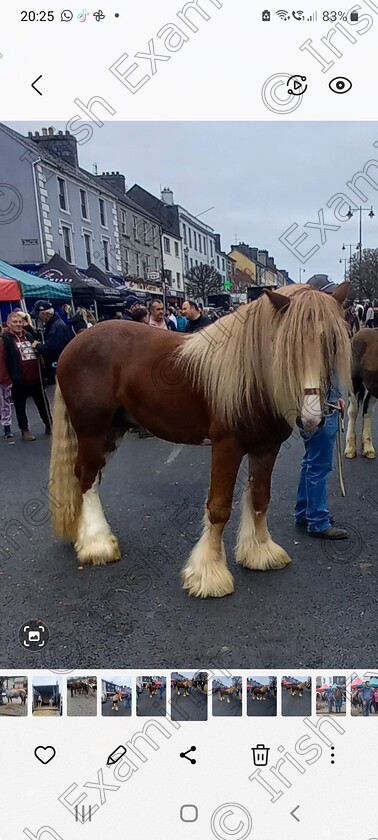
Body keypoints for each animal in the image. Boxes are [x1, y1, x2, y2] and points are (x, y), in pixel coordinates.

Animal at [48, 282, 350, 596]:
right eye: (287, 348)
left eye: (332, 342)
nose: (311, 419)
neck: (253, 378)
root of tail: (74, 344)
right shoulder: (227, 447)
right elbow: (219, 508)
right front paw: (209, 575)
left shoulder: (266, 449)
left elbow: (260, 499)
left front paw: (260, 553)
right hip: (92, 430)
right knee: (86, 477)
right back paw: (97, 544)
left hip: (112, 431)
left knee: (93, 477)